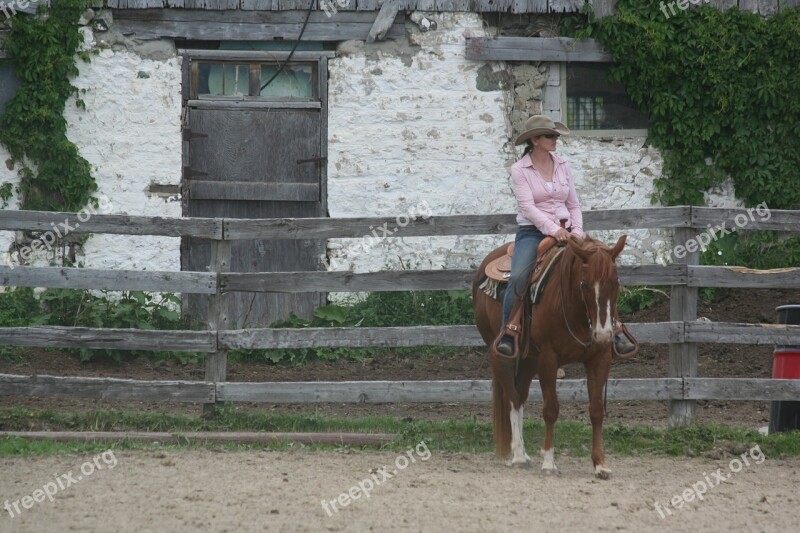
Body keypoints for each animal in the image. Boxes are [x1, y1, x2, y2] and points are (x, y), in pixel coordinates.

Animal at [472, 235, 628, 476]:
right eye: (584, 284)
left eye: (616, 283)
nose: (603, 334)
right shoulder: (549, 358)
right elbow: (551, 409)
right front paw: (548, 462)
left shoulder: (600, 358)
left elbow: (596, 410)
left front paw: (600, 464)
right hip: (500, 353)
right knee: (511, 397)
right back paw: (518, 455)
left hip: (529, 359)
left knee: (520, 395)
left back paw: (524, 454)